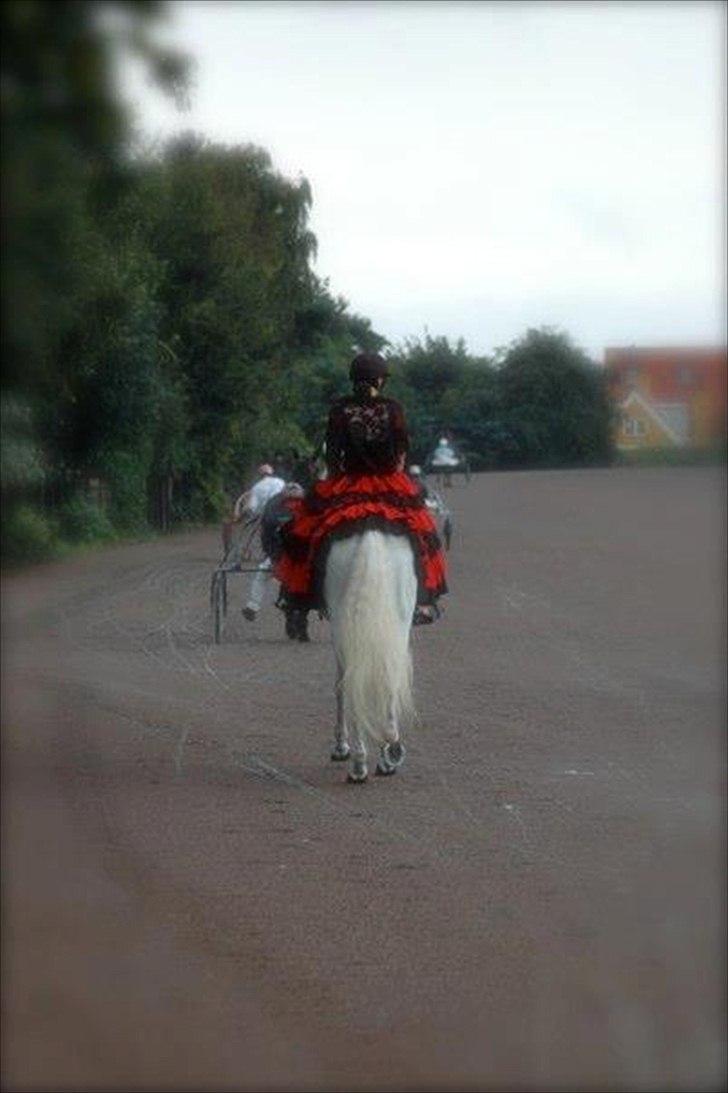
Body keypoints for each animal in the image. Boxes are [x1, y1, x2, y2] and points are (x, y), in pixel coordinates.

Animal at [321, 526, 417, 778]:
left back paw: (359, 762)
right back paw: (386, 755)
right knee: (387, 683)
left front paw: (342, 746)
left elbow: (340, 686)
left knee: (354, 684)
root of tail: (370, 537)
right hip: (398, 621)